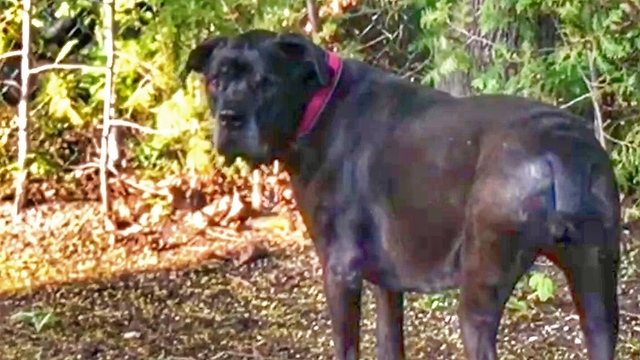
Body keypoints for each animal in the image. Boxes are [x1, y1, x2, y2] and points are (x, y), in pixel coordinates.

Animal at [181, 29, 620, 358]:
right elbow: (389, 343)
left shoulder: (340, 273)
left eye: (265, 83)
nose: (230, 118)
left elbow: (347, 348)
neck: (317, 107)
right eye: (215, 81)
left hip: (479, 291)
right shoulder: (388, 283)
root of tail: (559, 149)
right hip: (597, 291)